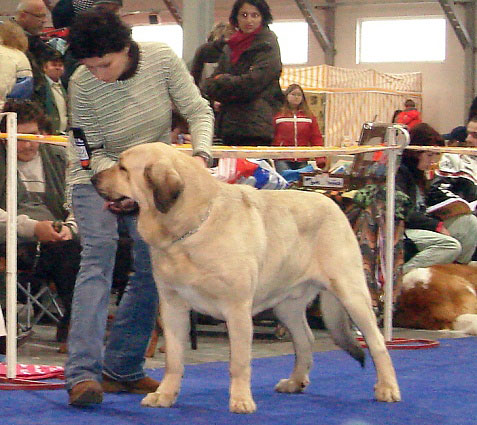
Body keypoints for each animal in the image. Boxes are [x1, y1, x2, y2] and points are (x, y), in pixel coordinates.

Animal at [91, 142, 400, 410]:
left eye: (123, 169)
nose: (93, 178)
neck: (190, 226)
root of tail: (333, 204)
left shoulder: (237, 309)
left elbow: (239, 362)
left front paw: (240, 400)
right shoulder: (173, 306)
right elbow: (175, 360)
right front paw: (165, 395)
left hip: (351, 293)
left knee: (376, 343)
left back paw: (387, 388)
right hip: (286, 305)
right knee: (305, 340)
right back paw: (295, 381)